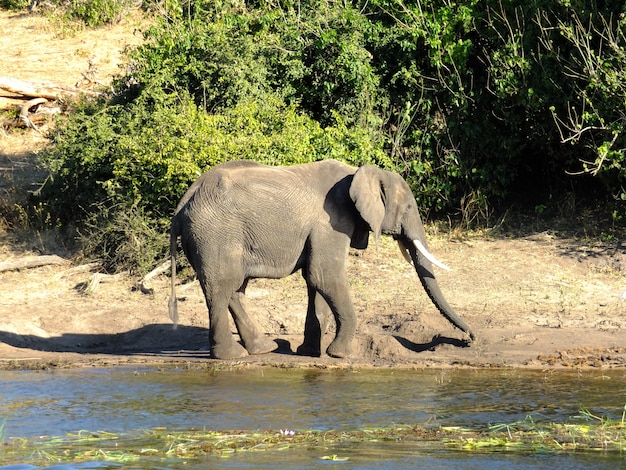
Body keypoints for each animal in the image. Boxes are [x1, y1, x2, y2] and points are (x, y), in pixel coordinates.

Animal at [167, 158, 472, 360]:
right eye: (408, 207)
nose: (469, 339)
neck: (359, 173)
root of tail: (182, 204)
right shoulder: (332, 222)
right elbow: (324, 275)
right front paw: (341, 355)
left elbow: (315, 281)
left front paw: (310, 353)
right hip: (215, 234)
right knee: (222, 288)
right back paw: (232, 356)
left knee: (235, 289)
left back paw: (263, 349)